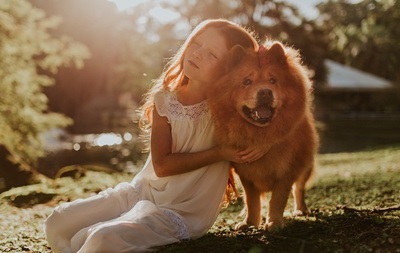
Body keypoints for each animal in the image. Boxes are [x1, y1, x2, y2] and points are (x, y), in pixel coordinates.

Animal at [209, 40, 318, 230]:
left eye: (273, 80)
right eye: (247, 81)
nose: (265, 91)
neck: (260, 133)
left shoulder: (287, 170)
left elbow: (279, 198)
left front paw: (274, 222)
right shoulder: (246, 174)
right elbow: (252, 200)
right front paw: (250, 222)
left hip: (306, 165)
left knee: (299, 188)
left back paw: (300, 210)